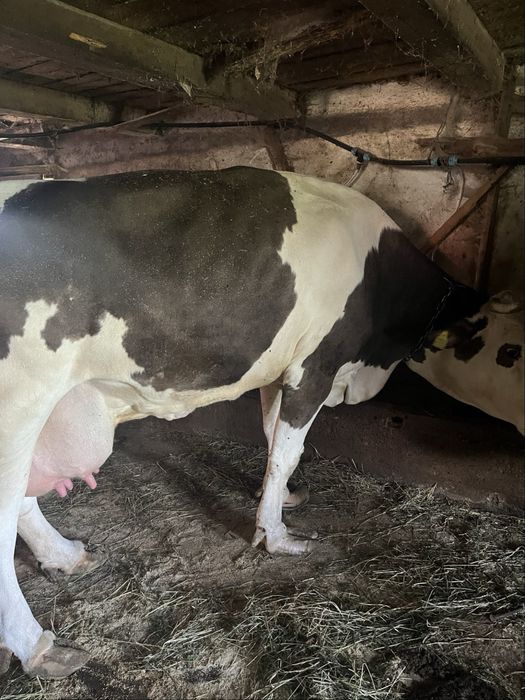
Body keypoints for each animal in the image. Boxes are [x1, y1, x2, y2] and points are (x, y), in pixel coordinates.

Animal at [0, 167, 487, 678]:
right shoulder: (315, 366)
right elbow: (288, 450)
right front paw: (276, 535)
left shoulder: (279, 370)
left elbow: (273, 437)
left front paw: (283, 496)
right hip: (19, 406)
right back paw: (37, 646)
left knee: (22, 503)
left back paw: (64, 555)